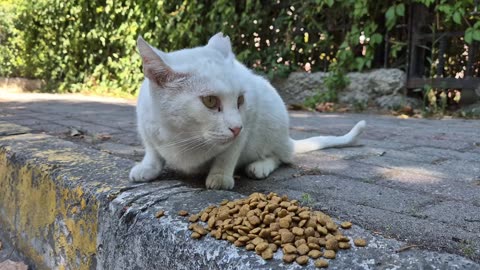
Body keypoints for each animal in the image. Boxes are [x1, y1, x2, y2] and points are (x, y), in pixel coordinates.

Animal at [129, 32, 366, 189]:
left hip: (274, 122)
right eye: (210, 101)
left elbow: (228, 154)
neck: (183, 135)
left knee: (282, 157)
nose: (236, 127)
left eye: (240, 100)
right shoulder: (145, 124)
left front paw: (220, 177)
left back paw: (260, 166)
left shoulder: (248, 120)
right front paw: (148, 167)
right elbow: (153, 151)